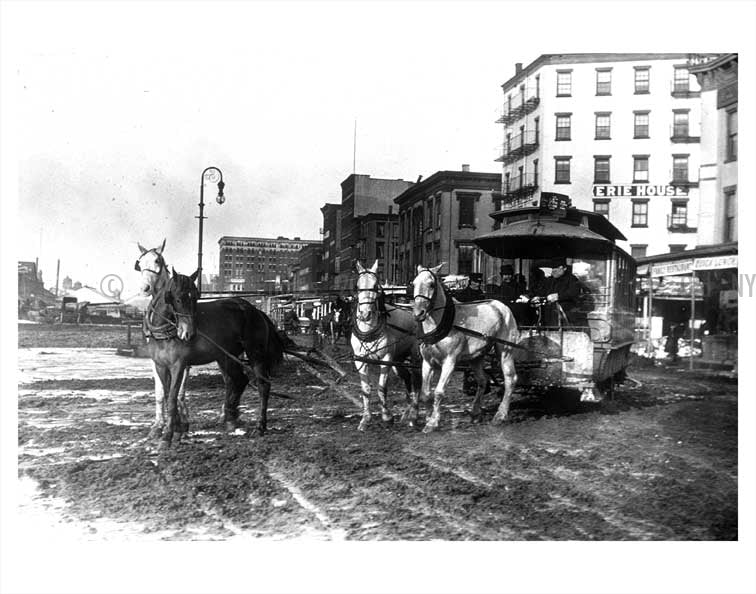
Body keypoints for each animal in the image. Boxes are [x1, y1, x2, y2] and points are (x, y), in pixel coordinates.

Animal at [134, 238, 190, 438]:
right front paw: (158, 425)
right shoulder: (155, 359)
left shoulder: (183, 360)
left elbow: (178, 390)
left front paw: (181, 422)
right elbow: (160, 391)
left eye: (157, 261)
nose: (144, 288)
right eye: (140, 264)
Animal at [352, 260, 422, 430]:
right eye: (358, 286)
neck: (369, 329)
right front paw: (365, 419)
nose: (365, 314)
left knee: (417, 380)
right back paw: (406, 413)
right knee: (406, 377)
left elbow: (381, 387)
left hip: (415, 356)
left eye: (375, 285)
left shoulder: (386, 358)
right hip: (398, 360)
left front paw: (386, 416)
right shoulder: (360, 360)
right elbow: (366, 389)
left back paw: (414, 415)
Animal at [408, 262, 520, 430]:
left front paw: (433, 422)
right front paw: (428, 418)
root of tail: (502, 306)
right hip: (476, 357)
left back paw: (500, 415)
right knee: (482, 381)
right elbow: (426, 393)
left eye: (432, 284)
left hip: (505, 351)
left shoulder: (450, 361)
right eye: (414, 284)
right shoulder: (427, 362)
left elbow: (439, 392)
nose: (418, 313)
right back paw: (475, 413)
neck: (442, 324)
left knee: (510, 379)